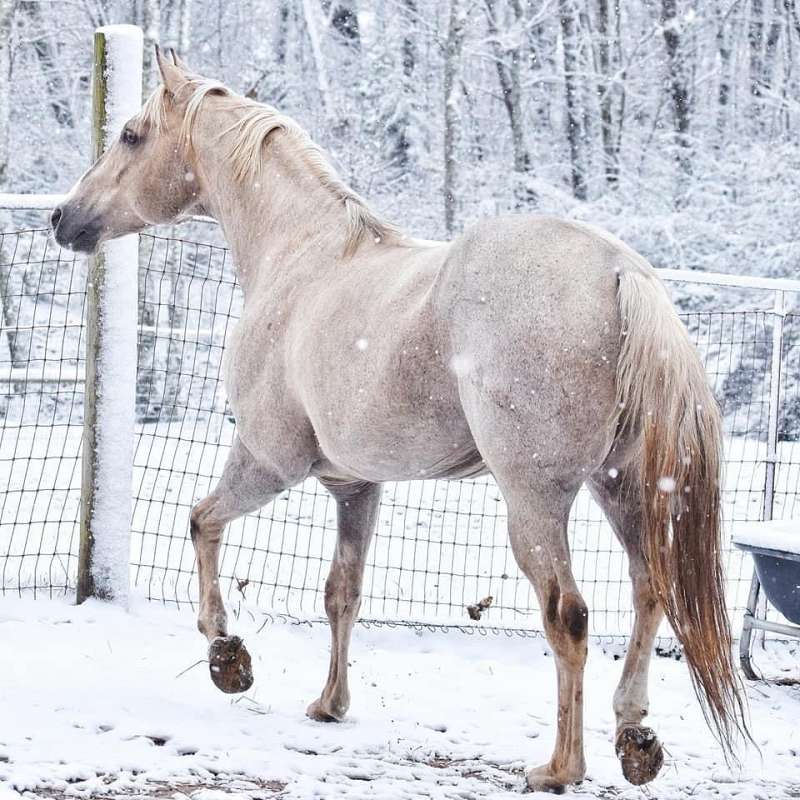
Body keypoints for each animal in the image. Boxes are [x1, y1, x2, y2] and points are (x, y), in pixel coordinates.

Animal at [51, 47, 748, 793]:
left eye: (131, 135)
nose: (63, 218)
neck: (304, 259)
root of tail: (621, 272)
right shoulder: (355, 486)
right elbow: (342, 593)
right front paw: (329, 704)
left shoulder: (268, 460)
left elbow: (201, 522)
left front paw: (228, 658)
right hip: (622, 488)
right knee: (650, 592)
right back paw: (634, 737)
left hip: (536, 499)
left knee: (568, 615)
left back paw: (560, 766)